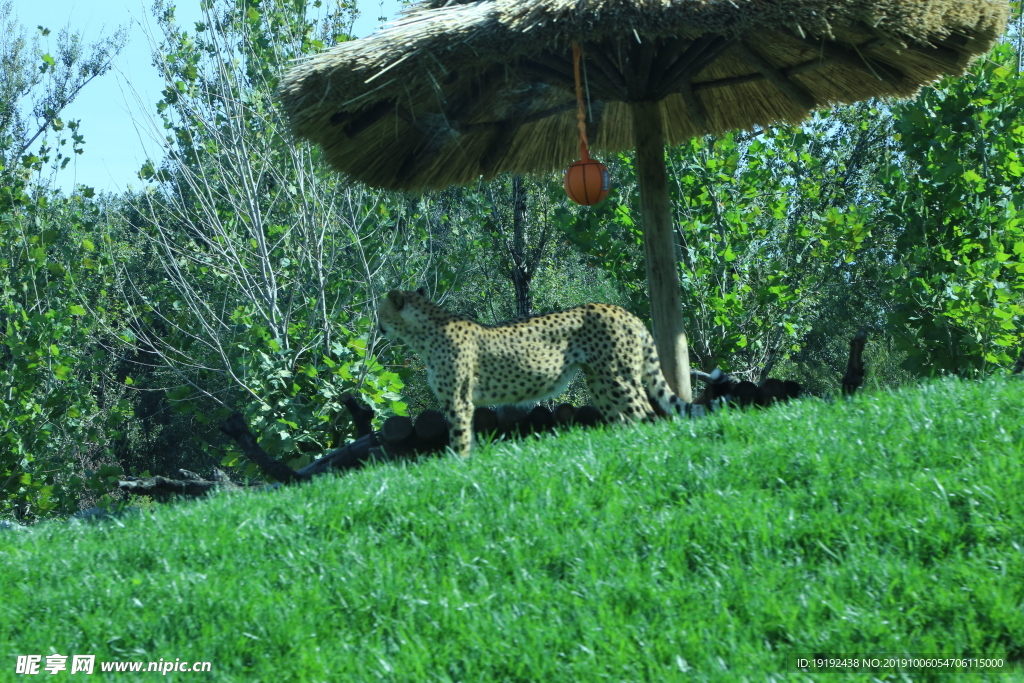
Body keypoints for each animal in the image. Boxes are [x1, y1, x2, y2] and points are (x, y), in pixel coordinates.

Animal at [376, 286, 704, 456]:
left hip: (617, 379)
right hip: (600, 381)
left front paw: (456, 467)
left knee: (646, 414)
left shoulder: (458, 401)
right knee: (625, 419)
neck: (424, 331)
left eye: (381, 311)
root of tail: (621, 310)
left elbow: (459, 437)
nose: (377, 325)